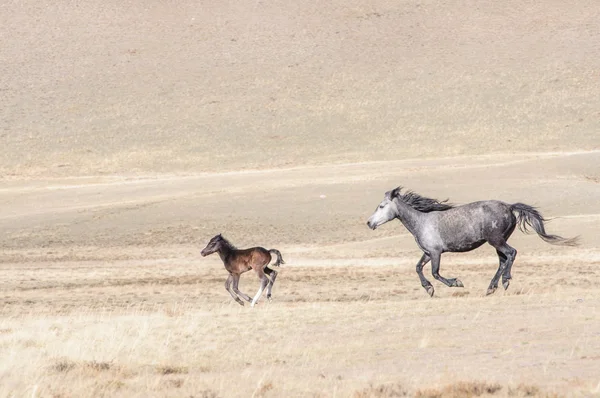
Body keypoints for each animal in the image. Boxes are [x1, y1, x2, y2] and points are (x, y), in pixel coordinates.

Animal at [366, 188, 576, 296]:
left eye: (382, 206)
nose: (369, 223)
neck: (421, 222)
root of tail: (509, 207)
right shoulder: (427, 253)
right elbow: (418, 268)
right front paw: (429, 288)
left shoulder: (435, 253)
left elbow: (435, 273)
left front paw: (455, 283)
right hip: (498, 241)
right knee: (503, 260)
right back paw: (491, 287)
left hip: (496, 240)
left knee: (511, 254)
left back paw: (505, 281)